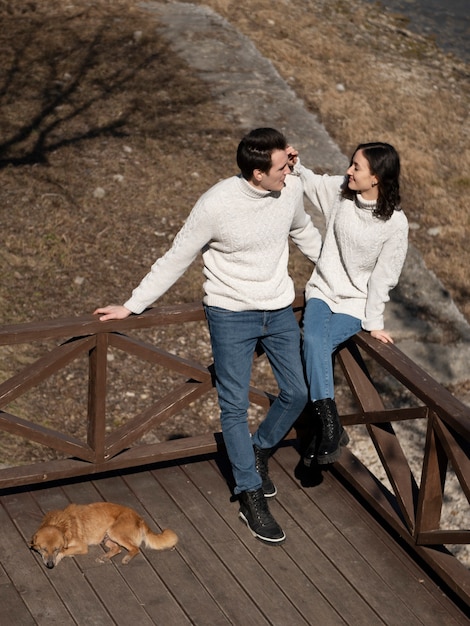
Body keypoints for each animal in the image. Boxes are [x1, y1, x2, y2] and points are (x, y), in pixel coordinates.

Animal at [29, 500, 178, 568]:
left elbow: (65, 551)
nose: (50, 565)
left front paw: (62, 556)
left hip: (114, 532)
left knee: (135, 548)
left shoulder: (82, 546)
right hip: (107, 537)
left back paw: (127, 558)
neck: (60, 524)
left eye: (56, 549)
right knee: (117, 549)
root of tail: (139, 518)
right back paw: (105, 557)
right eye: (43, 549)